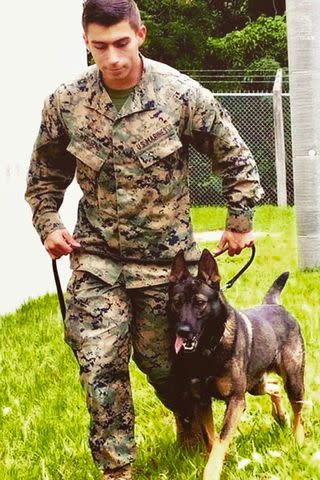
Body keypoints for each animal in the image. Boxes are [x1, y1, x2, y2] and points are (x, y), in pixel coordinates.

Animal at [168, 248, 304, 480]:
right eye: (177, 302)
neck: (208, 349)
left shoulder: (235, 401)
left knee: (298, 411)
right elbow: (211, 439)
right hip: (255, 385)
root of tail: (274, 304)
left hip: (293, 380)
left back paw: (299, 439)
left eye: (199, 303)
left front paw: (212, 472)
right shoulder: (202, 401)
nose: (182, 332)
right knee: (274, 387)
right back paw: (279, 416)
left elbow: (221, 439)